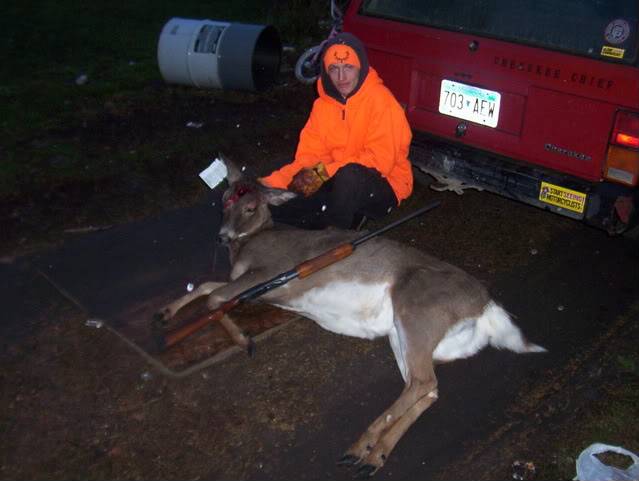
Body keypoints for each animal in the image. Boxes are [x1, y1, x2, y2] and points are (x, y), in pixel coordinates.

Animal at [155, 157, 544, 476]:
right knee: (425, 388)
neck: (249, 245)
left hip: (417, 311)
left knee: (423, 383)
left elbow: (214, 297)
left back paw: (360, 446)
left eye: (250, 205)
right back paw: (374, 456)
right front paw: (165, 313)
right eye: (224, 200)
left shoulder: (269, 273)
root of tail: (485, 305)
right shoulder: (250, 281)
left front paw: (243, 340)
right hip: (403, 334)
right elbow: (208, 286)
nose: (221, 237)